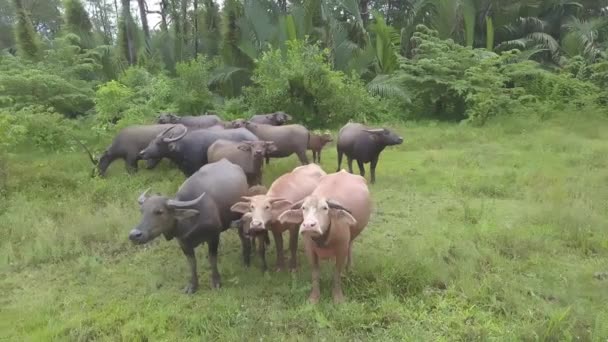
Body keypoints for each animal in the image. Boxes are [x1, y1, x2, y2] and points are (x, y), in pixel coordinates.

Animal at [129, 159, 251, 292]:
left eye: (159, 211)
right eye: (142, 211)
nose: (134, 235)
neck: (192, 220)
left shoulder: (213, 236)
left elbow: (212, 259)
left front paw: (216, 281)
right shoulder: (183, 243)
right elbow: (192, 264)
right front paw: (192, 286)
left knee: (243, 236)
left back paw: (246, 260)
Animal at [280, 170, 370, 304]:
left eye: (325, 208)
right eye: (303, 208)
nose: (309, 225)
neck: (324, 239)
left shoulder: (341, 250)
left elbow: (336, 273)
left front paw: (338, 297)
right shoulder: (310, 251)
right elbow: (315, 273)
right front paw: (314, 297)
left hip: (351, 239)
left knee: (350, 246)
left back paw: (349, 267)